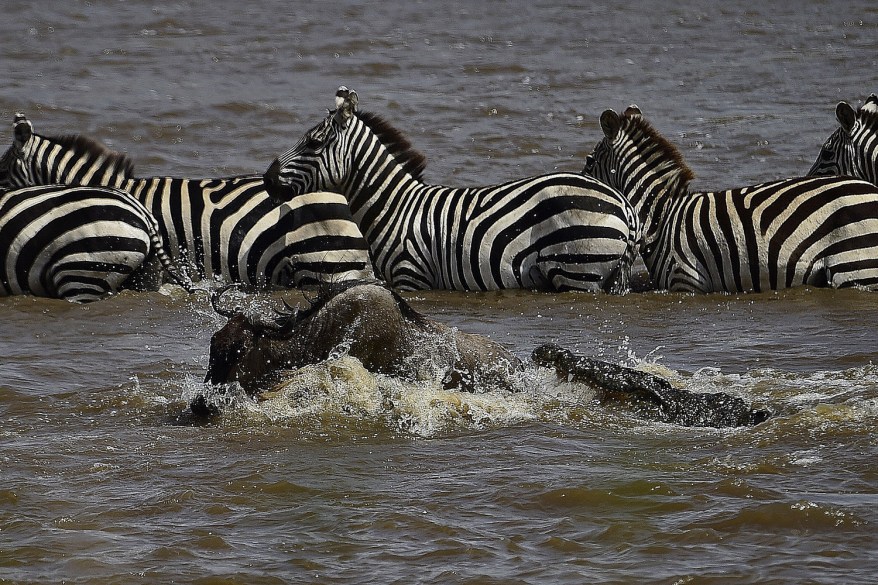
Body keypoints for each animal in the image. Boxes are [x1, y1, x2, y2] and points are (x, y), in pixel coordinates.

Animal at [262, 86, 640, 292]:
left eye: (313, 142)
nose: (266, 178)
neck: (393, 207)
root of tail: (622, 203)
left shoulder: (410, 275)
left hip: (579, 270)